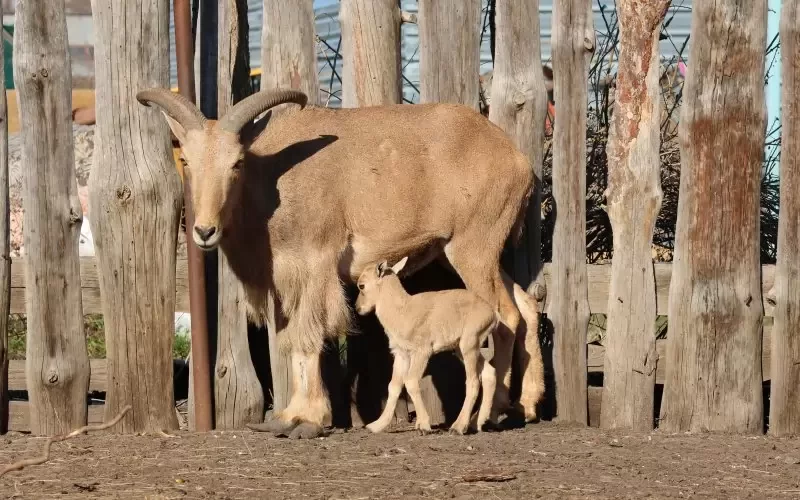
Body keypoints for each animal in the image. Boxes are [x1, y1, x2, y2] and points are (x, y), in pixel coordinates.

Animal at [354, 256, 496, 436]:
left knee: (473, 381)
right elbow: (394, 386)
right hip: (463, 349)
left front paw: (423, 425)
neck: (402, 312)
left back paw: (458, 427)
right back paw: (476, 423)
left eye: (361, 285)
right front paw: (375, 426)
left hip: (469, 345)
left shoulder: (422, 352)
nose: (358, 308)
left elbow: (411, 381)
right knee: (489, 374)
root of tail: (492, 314)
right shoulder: (401, 354)